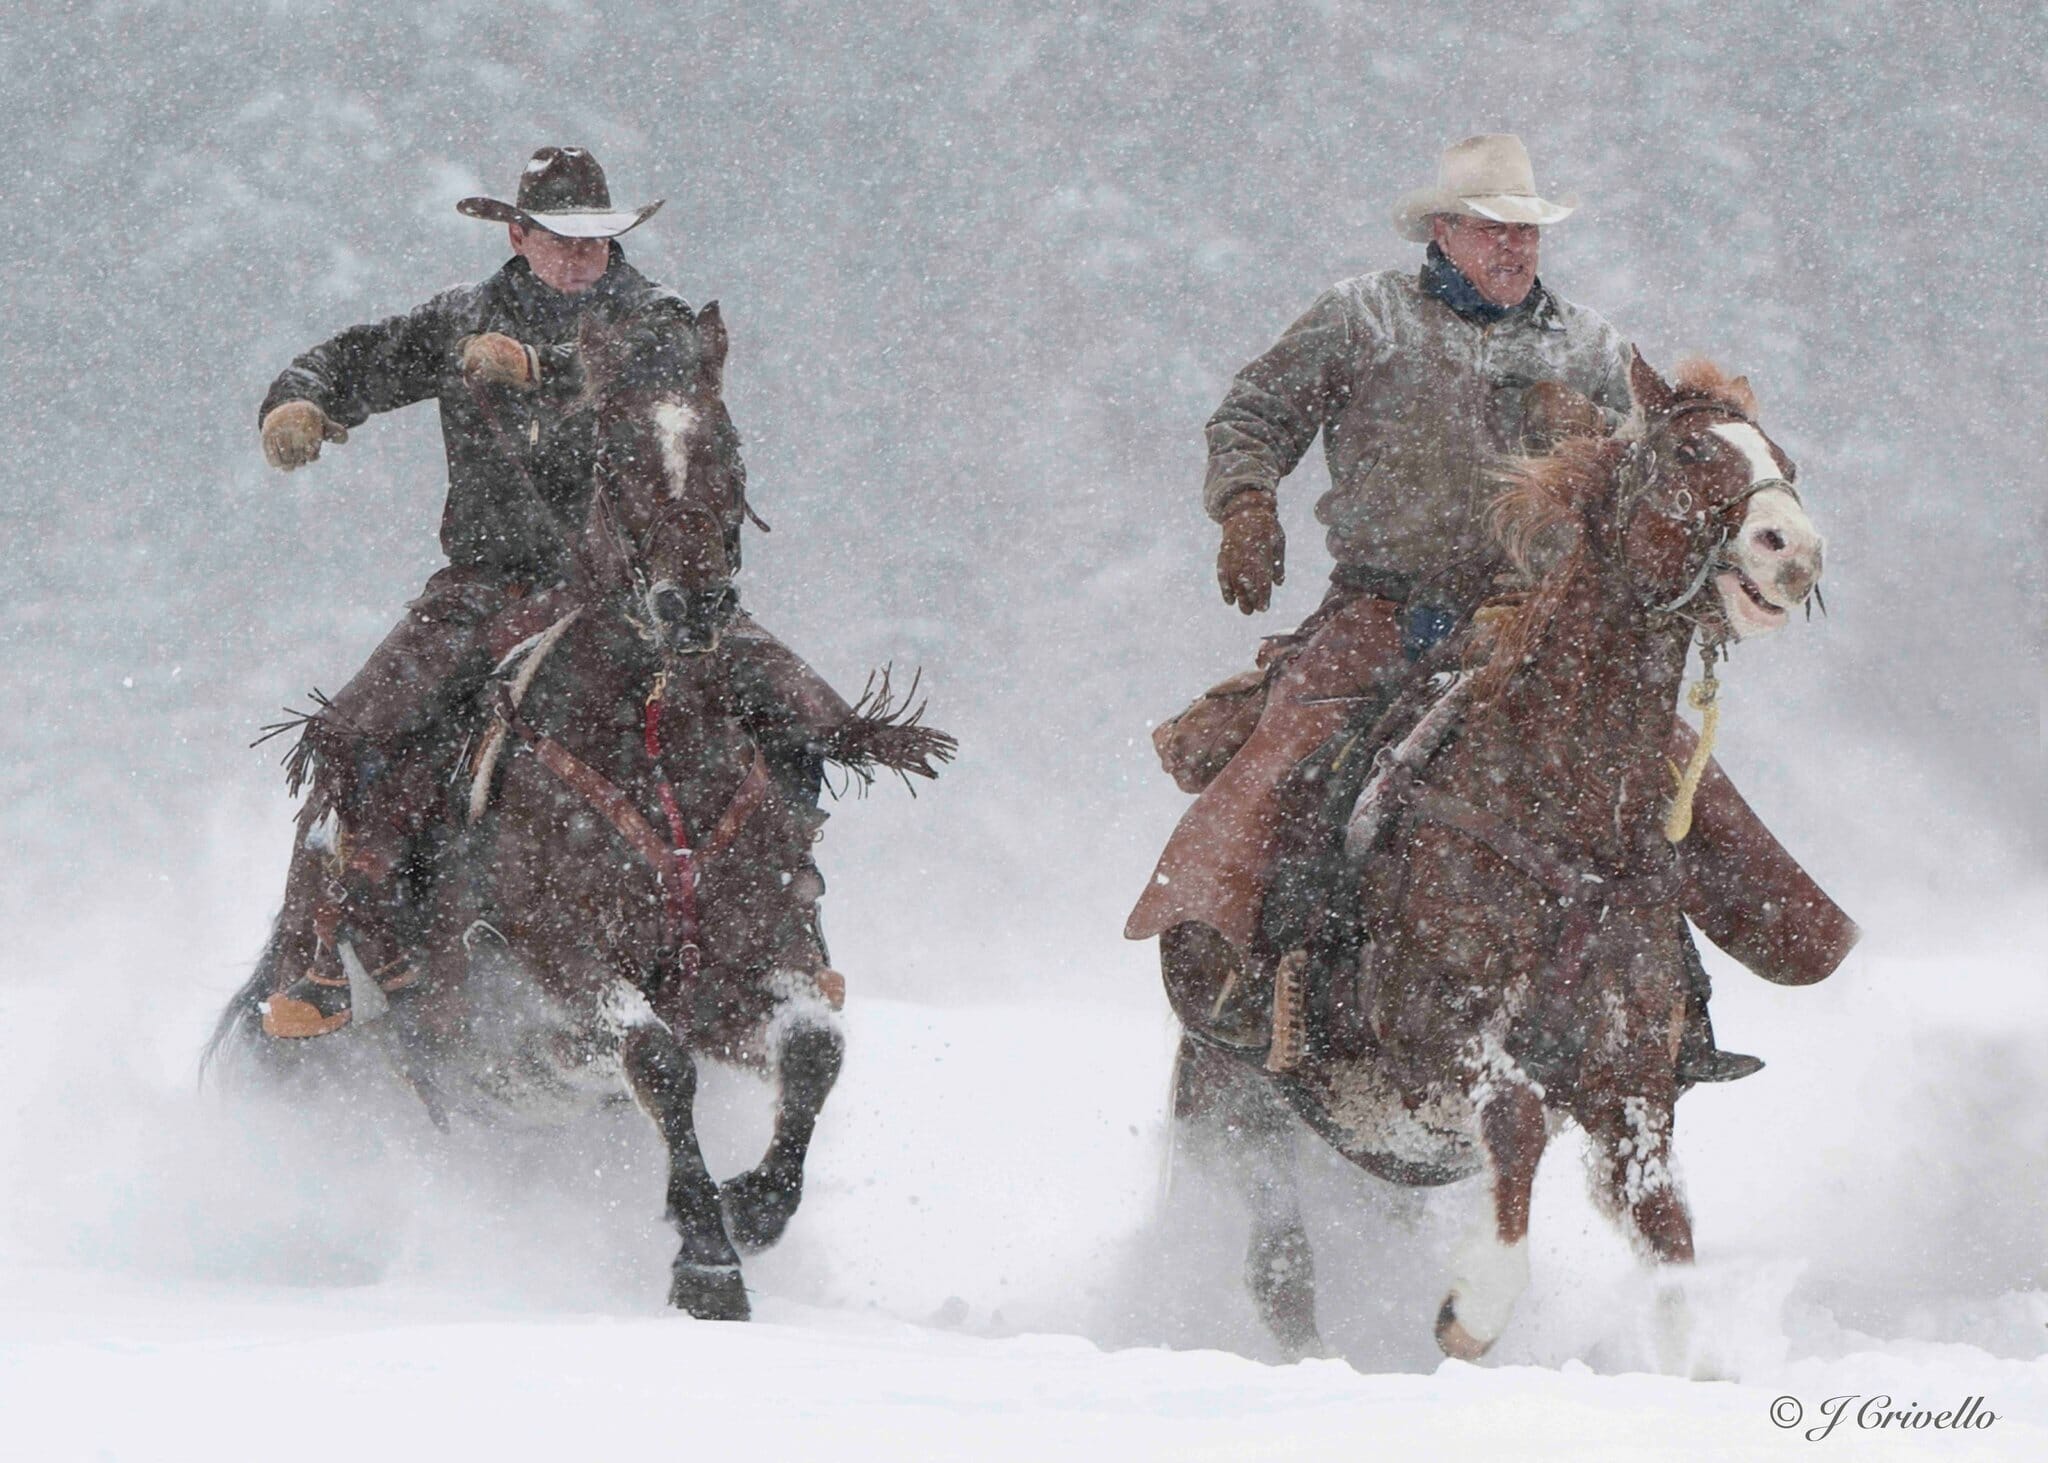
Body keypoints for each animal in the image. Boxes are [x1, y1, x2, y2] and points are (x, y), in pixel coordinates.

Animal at [208, 300, 953, 1320]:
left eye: (730, 446)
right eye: (617, 454)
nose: (694, 602)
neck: (655, 743)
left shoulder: (763, 955)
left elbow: (814, 1047)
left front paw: (751, 1207)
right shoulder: (551, 977)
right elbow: (657, 1060)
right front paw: (707, 1262)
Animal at [1164, 351, 1830, 1363]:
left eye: (1780, 459)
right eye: (1688, 452)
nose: (1792, 550)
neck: (1565, 816)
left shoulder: (1631, 1083)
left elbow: (1667, 1236)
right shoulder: (1433, 1036)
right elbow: (1514, 1121)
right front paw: (1473, 1306)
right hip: (1236, 1099)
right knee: (1277, 1256)